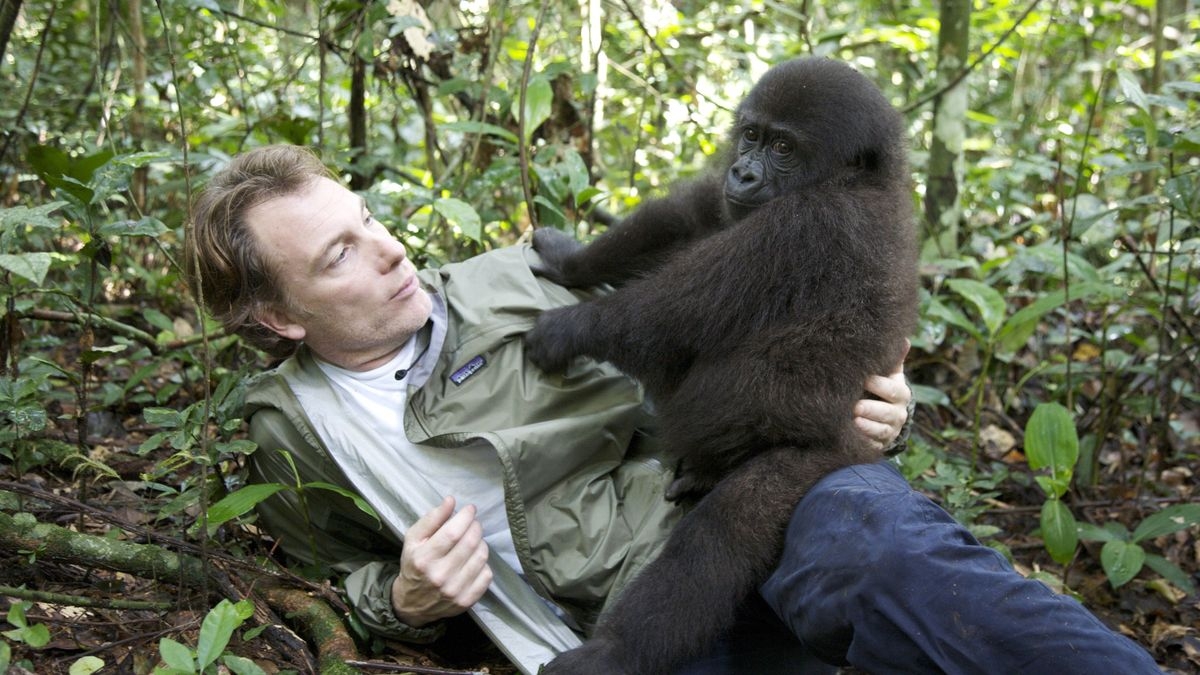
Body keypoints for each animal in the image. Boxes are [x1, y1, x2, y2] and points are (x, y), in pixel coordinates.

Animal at [524, 58, 920, 674]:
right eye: (752, 134)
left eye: (783, 147)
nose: (745, 172)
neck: (860, 181)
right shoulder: (739, 205)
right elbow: (690, 215)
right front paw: (572, 260)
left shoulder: (810, 222)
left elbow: (672, 315)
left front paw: (570, 330)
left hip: (814, 458)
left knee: (722, 537)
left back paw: (613, 652)